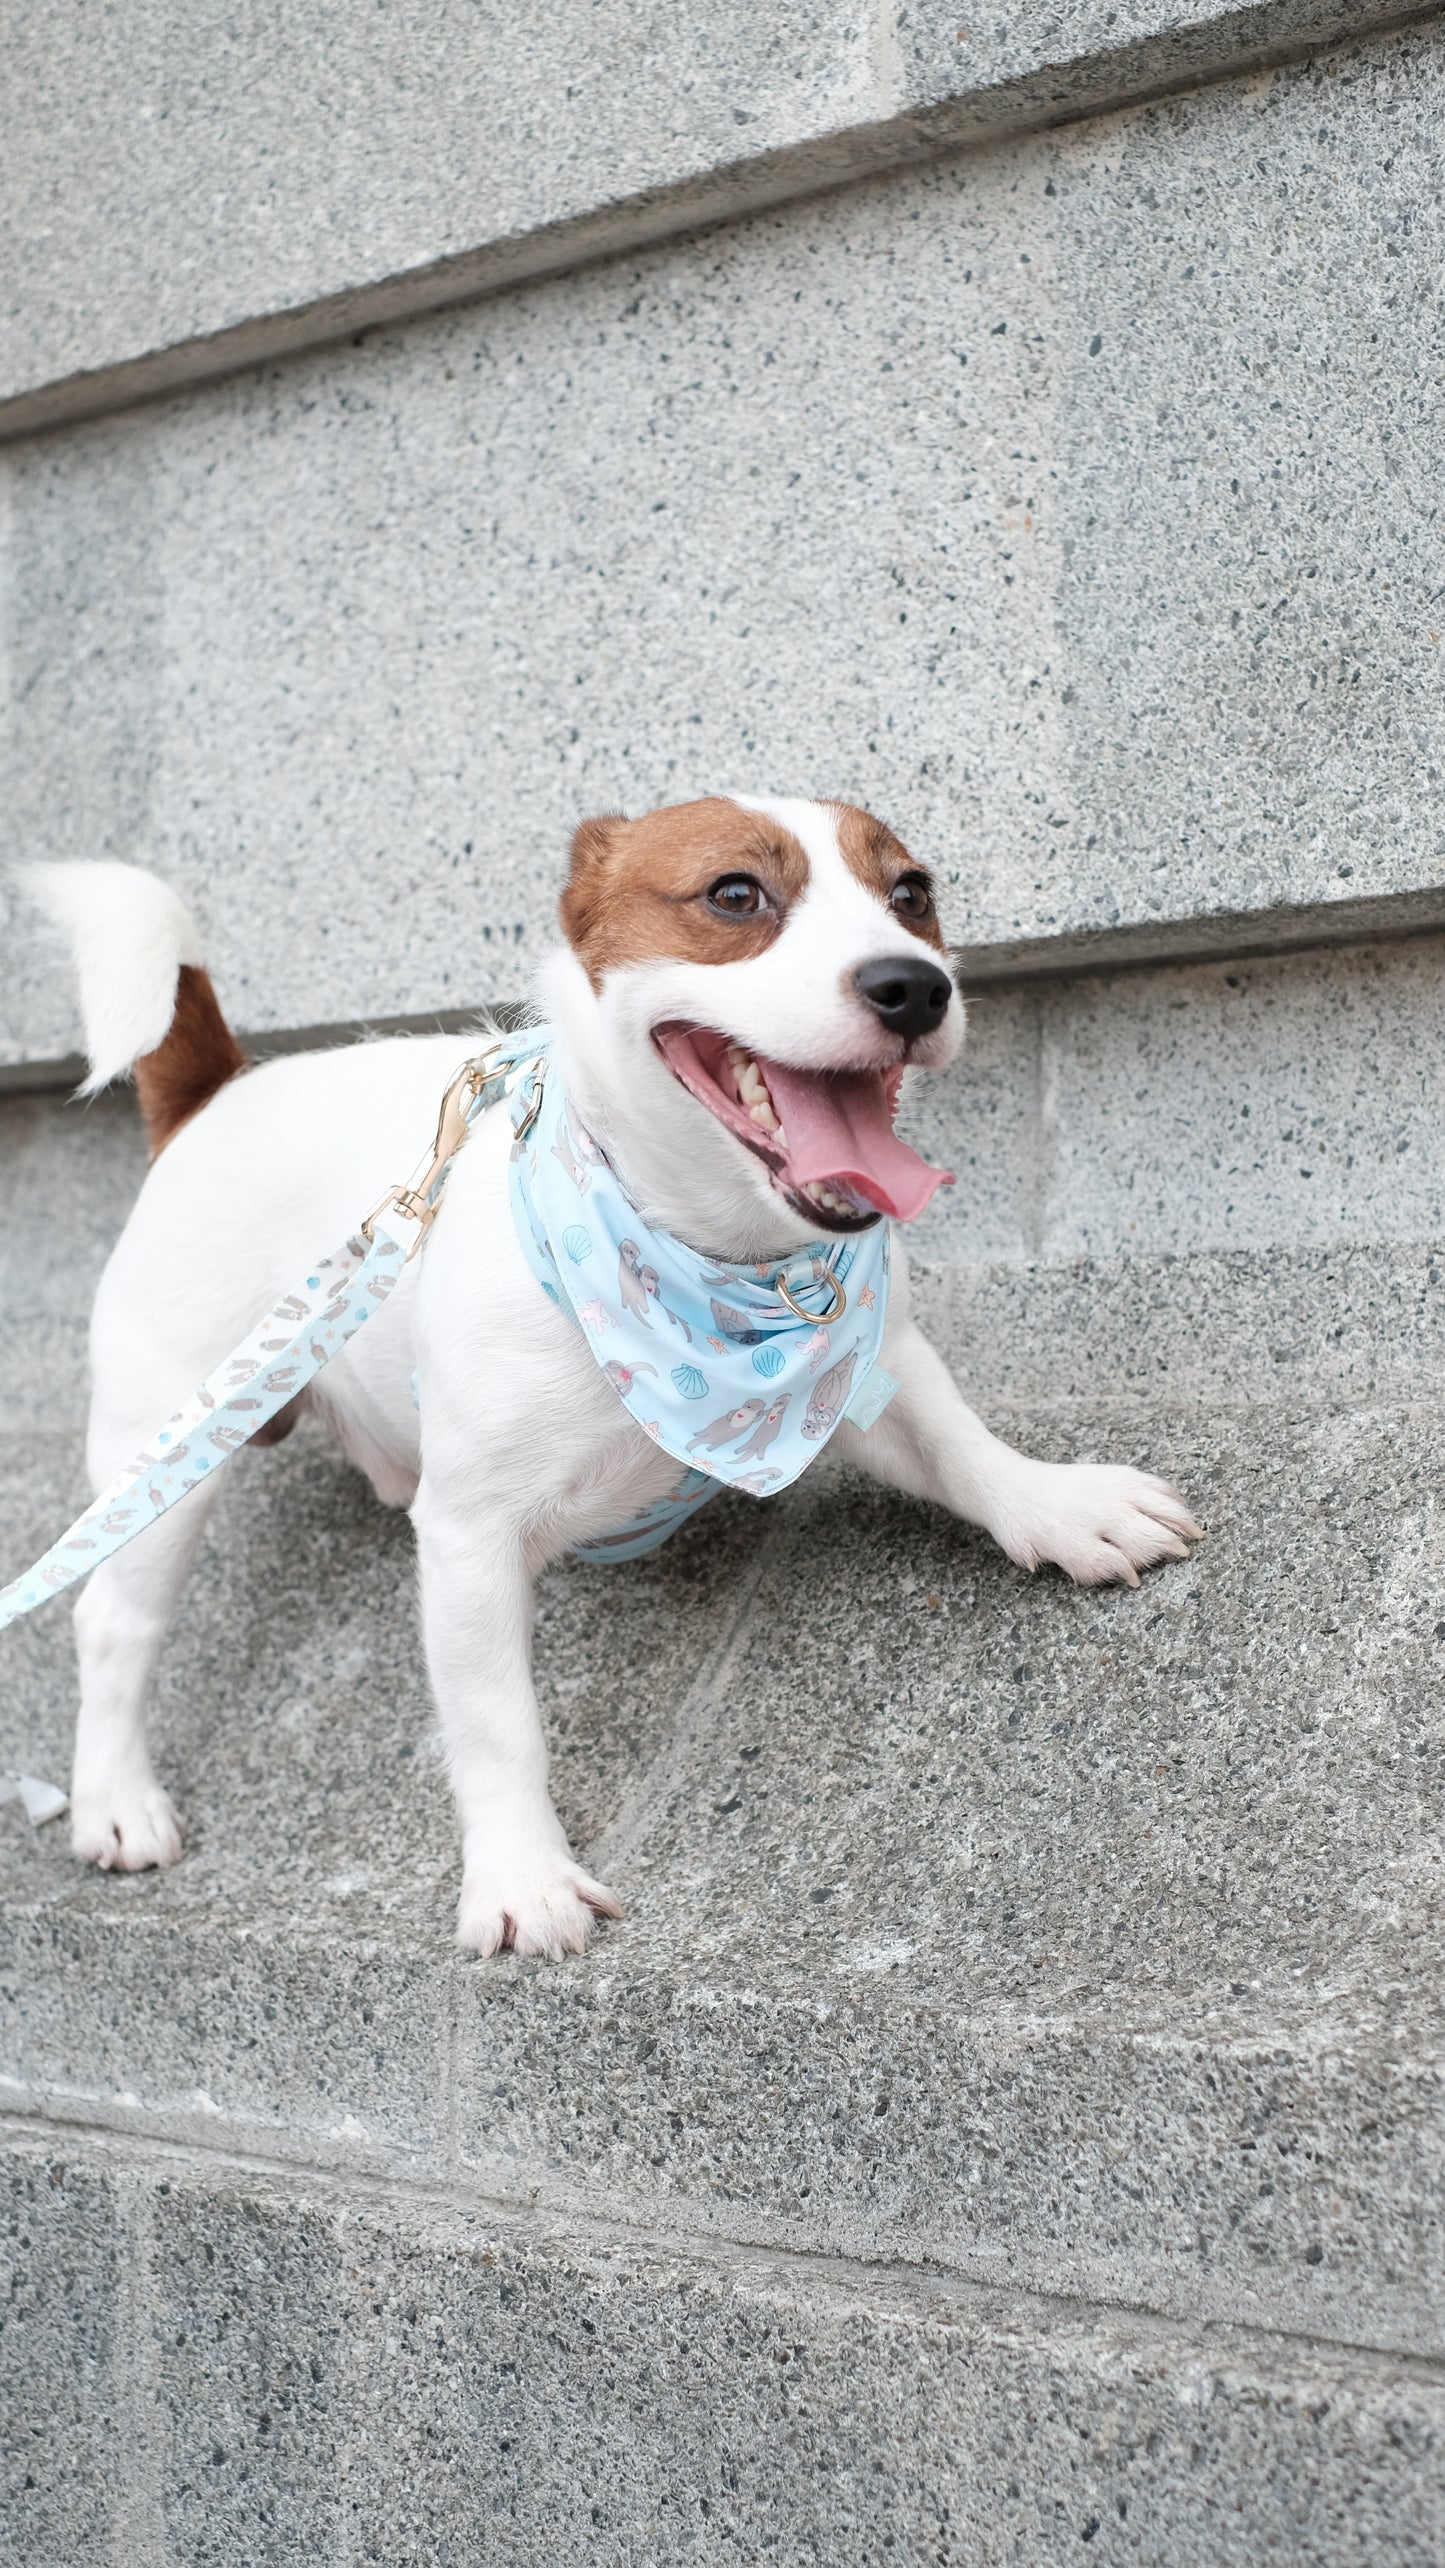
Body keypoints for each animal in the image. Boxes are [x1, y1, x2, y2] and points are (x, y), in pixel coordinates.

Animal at [28, 790, 1201, 1951]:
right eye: (735, 894)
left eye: (911, 894)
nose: (914, 984)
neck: (714, 1266)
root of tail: (217, 1093)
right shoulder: (469, 1538)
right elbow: (497, 1725)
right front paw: (521, 1872)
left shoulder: (872, 1369)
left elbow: (962, 1446)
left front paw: (1057, 1506)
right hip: (167, 1454)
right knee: (112, 1625)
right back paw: (114, 1798)